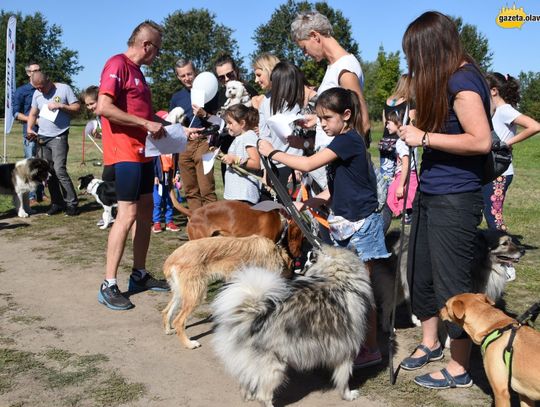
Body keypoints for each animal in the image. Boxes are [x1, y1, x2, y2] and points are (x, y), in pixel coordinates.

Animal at [162, 236, 294, 350]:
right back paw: (189, 344)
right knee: (178, 321)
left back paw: (168, 330)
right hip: (195, 294)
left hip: (182, 293)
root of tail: (170, 259)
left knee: (166, 311)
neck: (275, 252)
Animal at [212, 244, 376, 406]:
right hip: (275, 368)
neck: (337, 276)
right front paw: (348, 395)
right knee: (263, 396)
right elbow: (344, 379)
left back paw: (247, 396)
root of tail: (253, 319)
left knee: (246, 383)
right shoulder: (346, 351)